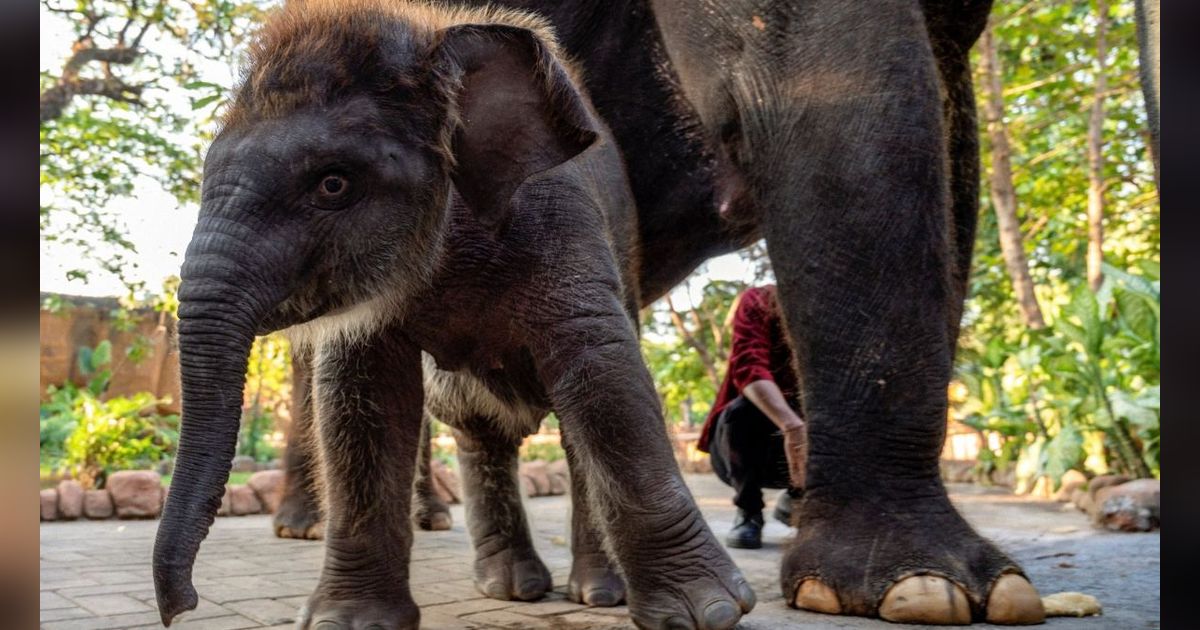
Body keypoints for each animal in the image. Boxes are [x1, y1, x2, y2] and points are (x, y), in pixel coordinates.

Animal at [150, 1, 748, 628]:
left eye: (333, 183)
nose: (181, 606)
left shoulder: (561, 218)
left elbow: (605, 379)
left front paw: (707, 611)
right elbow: (362, 397)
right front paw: (351, 620)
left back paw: (598, 593)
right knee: (476, 420)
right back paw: (512, 588)